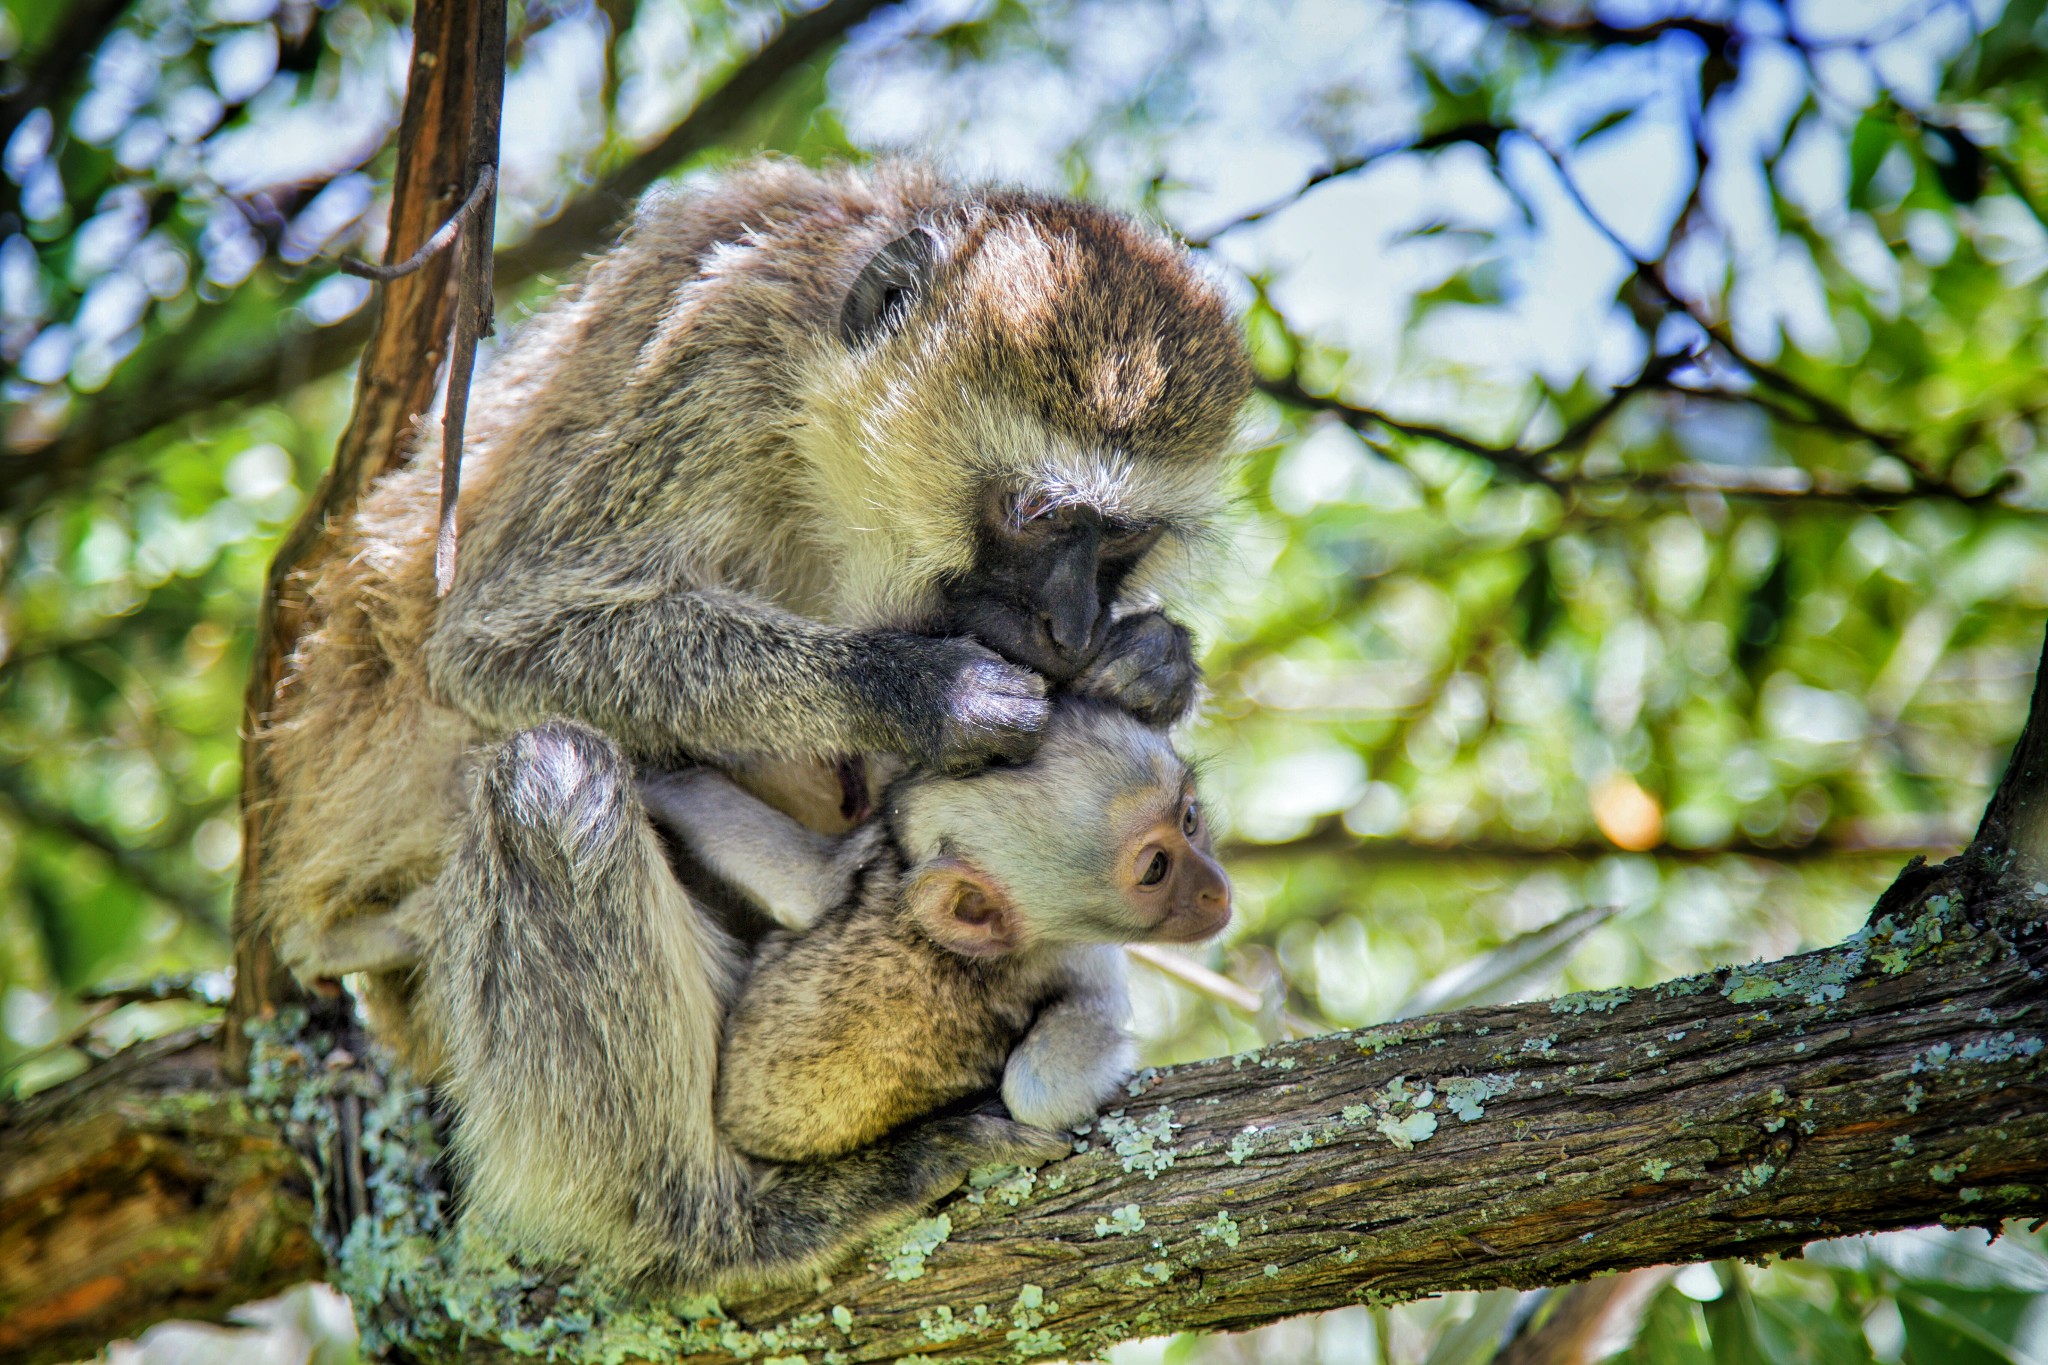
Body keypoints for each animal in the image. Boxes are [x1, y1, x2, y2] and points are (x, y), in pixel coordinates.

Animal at [655, 703, 1220, 1162]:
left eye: (1190, 819)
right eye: (1156, 869)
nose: (1216, 891)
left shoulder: (877, 857)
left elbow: (802, 885)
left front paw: (655, 781)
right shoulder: (1080, 955)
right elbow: (1039, 1095)